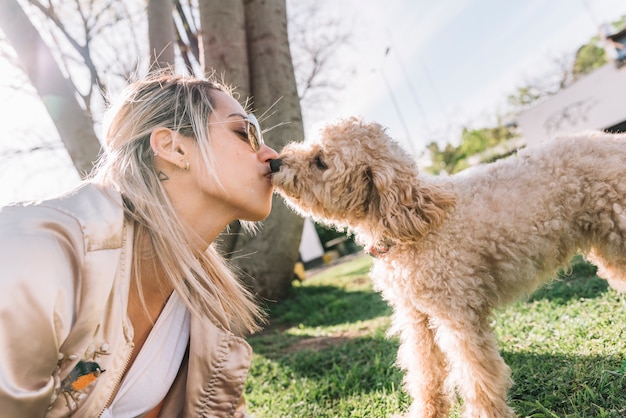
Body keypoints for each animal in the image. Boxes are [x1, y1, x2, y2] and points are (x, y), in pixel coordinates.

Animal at [268, 116, 624, 416]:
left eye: (320, 161)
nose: (274, 161)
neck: (412, 221)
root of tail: (614, 140)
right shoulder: (417, 317)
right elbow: (425, 372)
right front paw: (426, 412)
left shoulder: (457, 315)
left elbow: (475, 375)